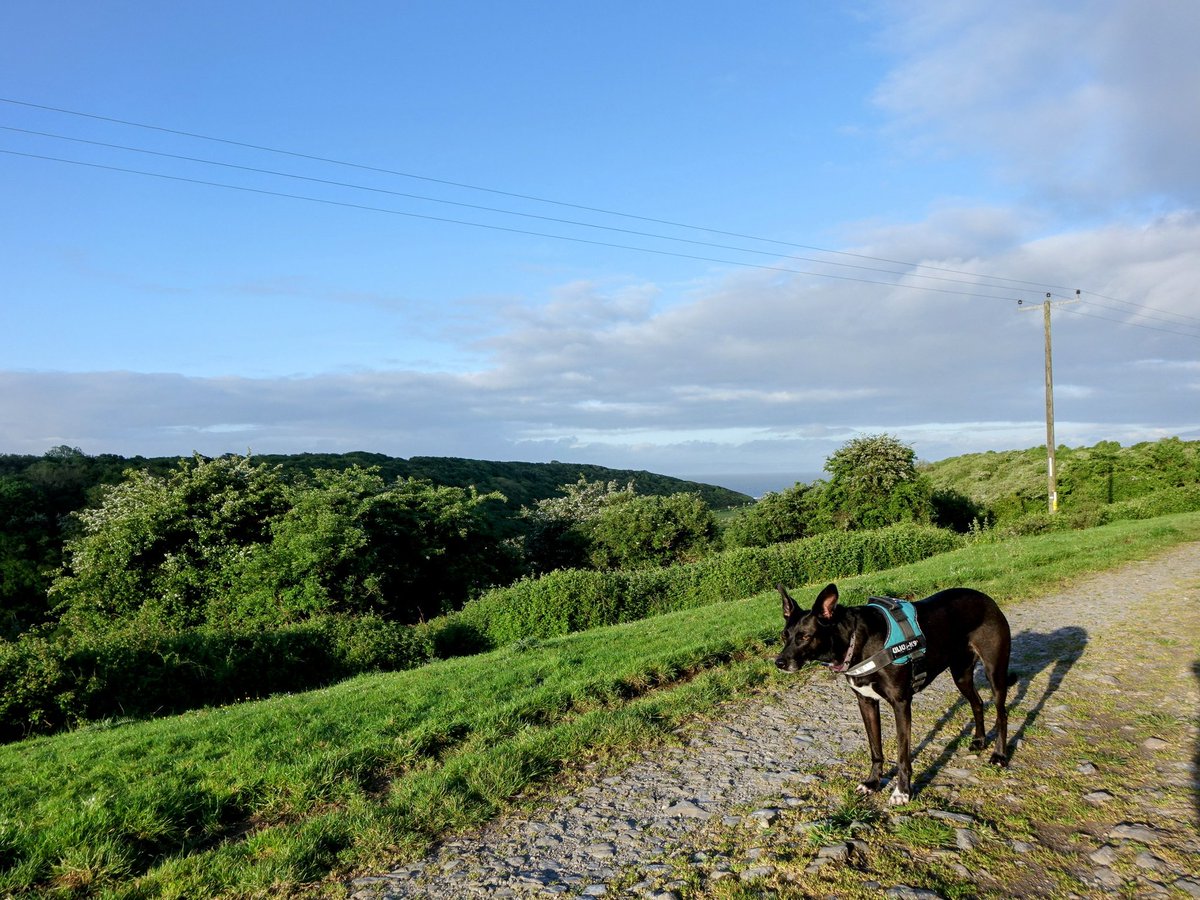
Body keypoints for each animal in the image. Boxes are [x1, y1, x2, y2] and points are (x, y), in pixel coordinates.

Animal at [777, 585, 1012, 811]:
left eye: (805, 637)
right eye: (784, 636)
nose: (779, 663)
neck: (857, 640)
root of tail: (985, 598)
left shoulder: (901, 704)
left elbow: (902, 755)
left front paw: (902, 792)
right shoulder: (866, 702)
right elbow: (875, 749)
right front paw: (873, 783)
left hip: (995, 672)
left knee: (1001, 712)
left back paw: (999, 755)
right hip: (961, 674)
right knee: (978, 703)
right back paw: (979, 740)